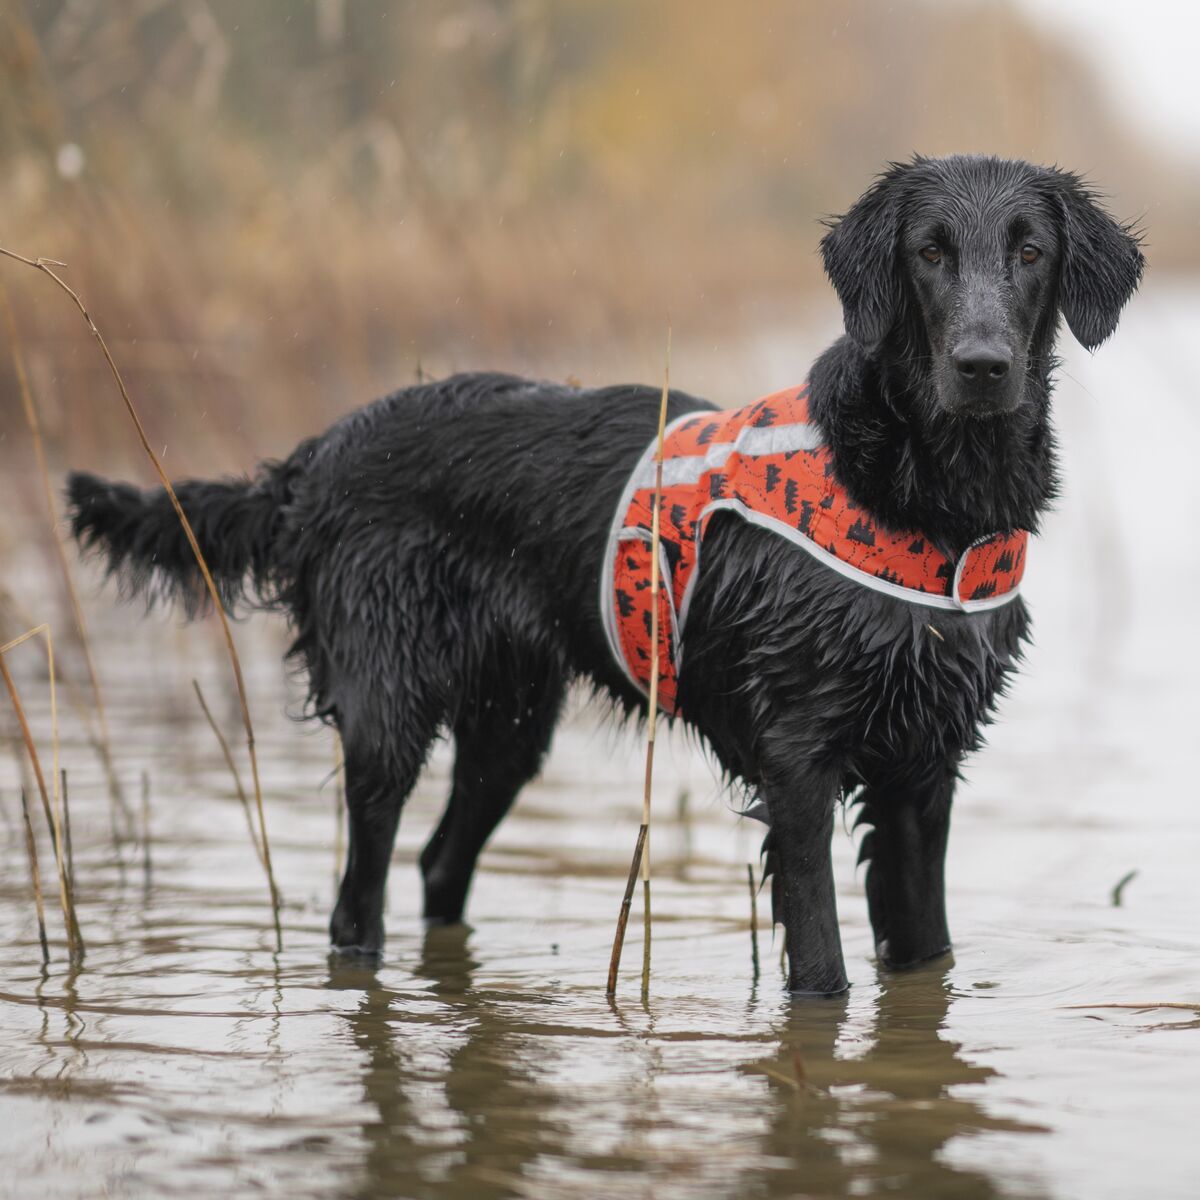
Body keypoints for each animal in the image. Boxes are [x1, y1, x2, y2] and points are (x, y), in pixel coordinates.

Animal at [68, 154, 1142, 993]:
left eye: (1030, 252)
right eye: (929, 250)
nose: (982, 366)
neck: (925, 500)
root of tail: (319, 452)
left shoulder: (925, 766)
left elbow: (926, 952)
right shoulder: (799, 758)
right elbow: (824, 969)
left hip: (508, 723)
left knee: (439, 866)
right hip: (388, 708)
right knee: (357, 899)